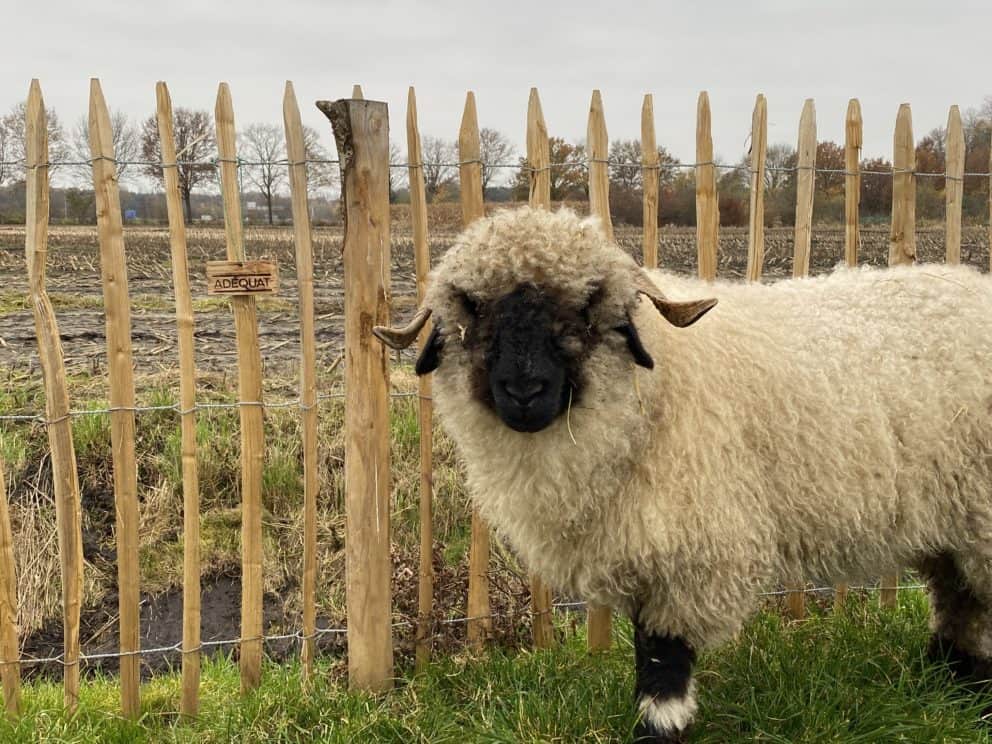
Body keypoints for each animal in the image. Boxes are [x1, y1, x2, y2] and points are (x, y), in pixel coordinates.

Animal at [372, 208, 992, 744]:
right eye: (472, 309)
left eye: (588, 307)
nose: (525, 392)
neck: (656, 389)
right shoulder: (643, 547)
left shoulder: (690, 553)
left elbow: (663, 662)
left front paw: (658, 731)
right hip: (952, 518)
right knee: (960, 599)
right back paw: (955, 681)